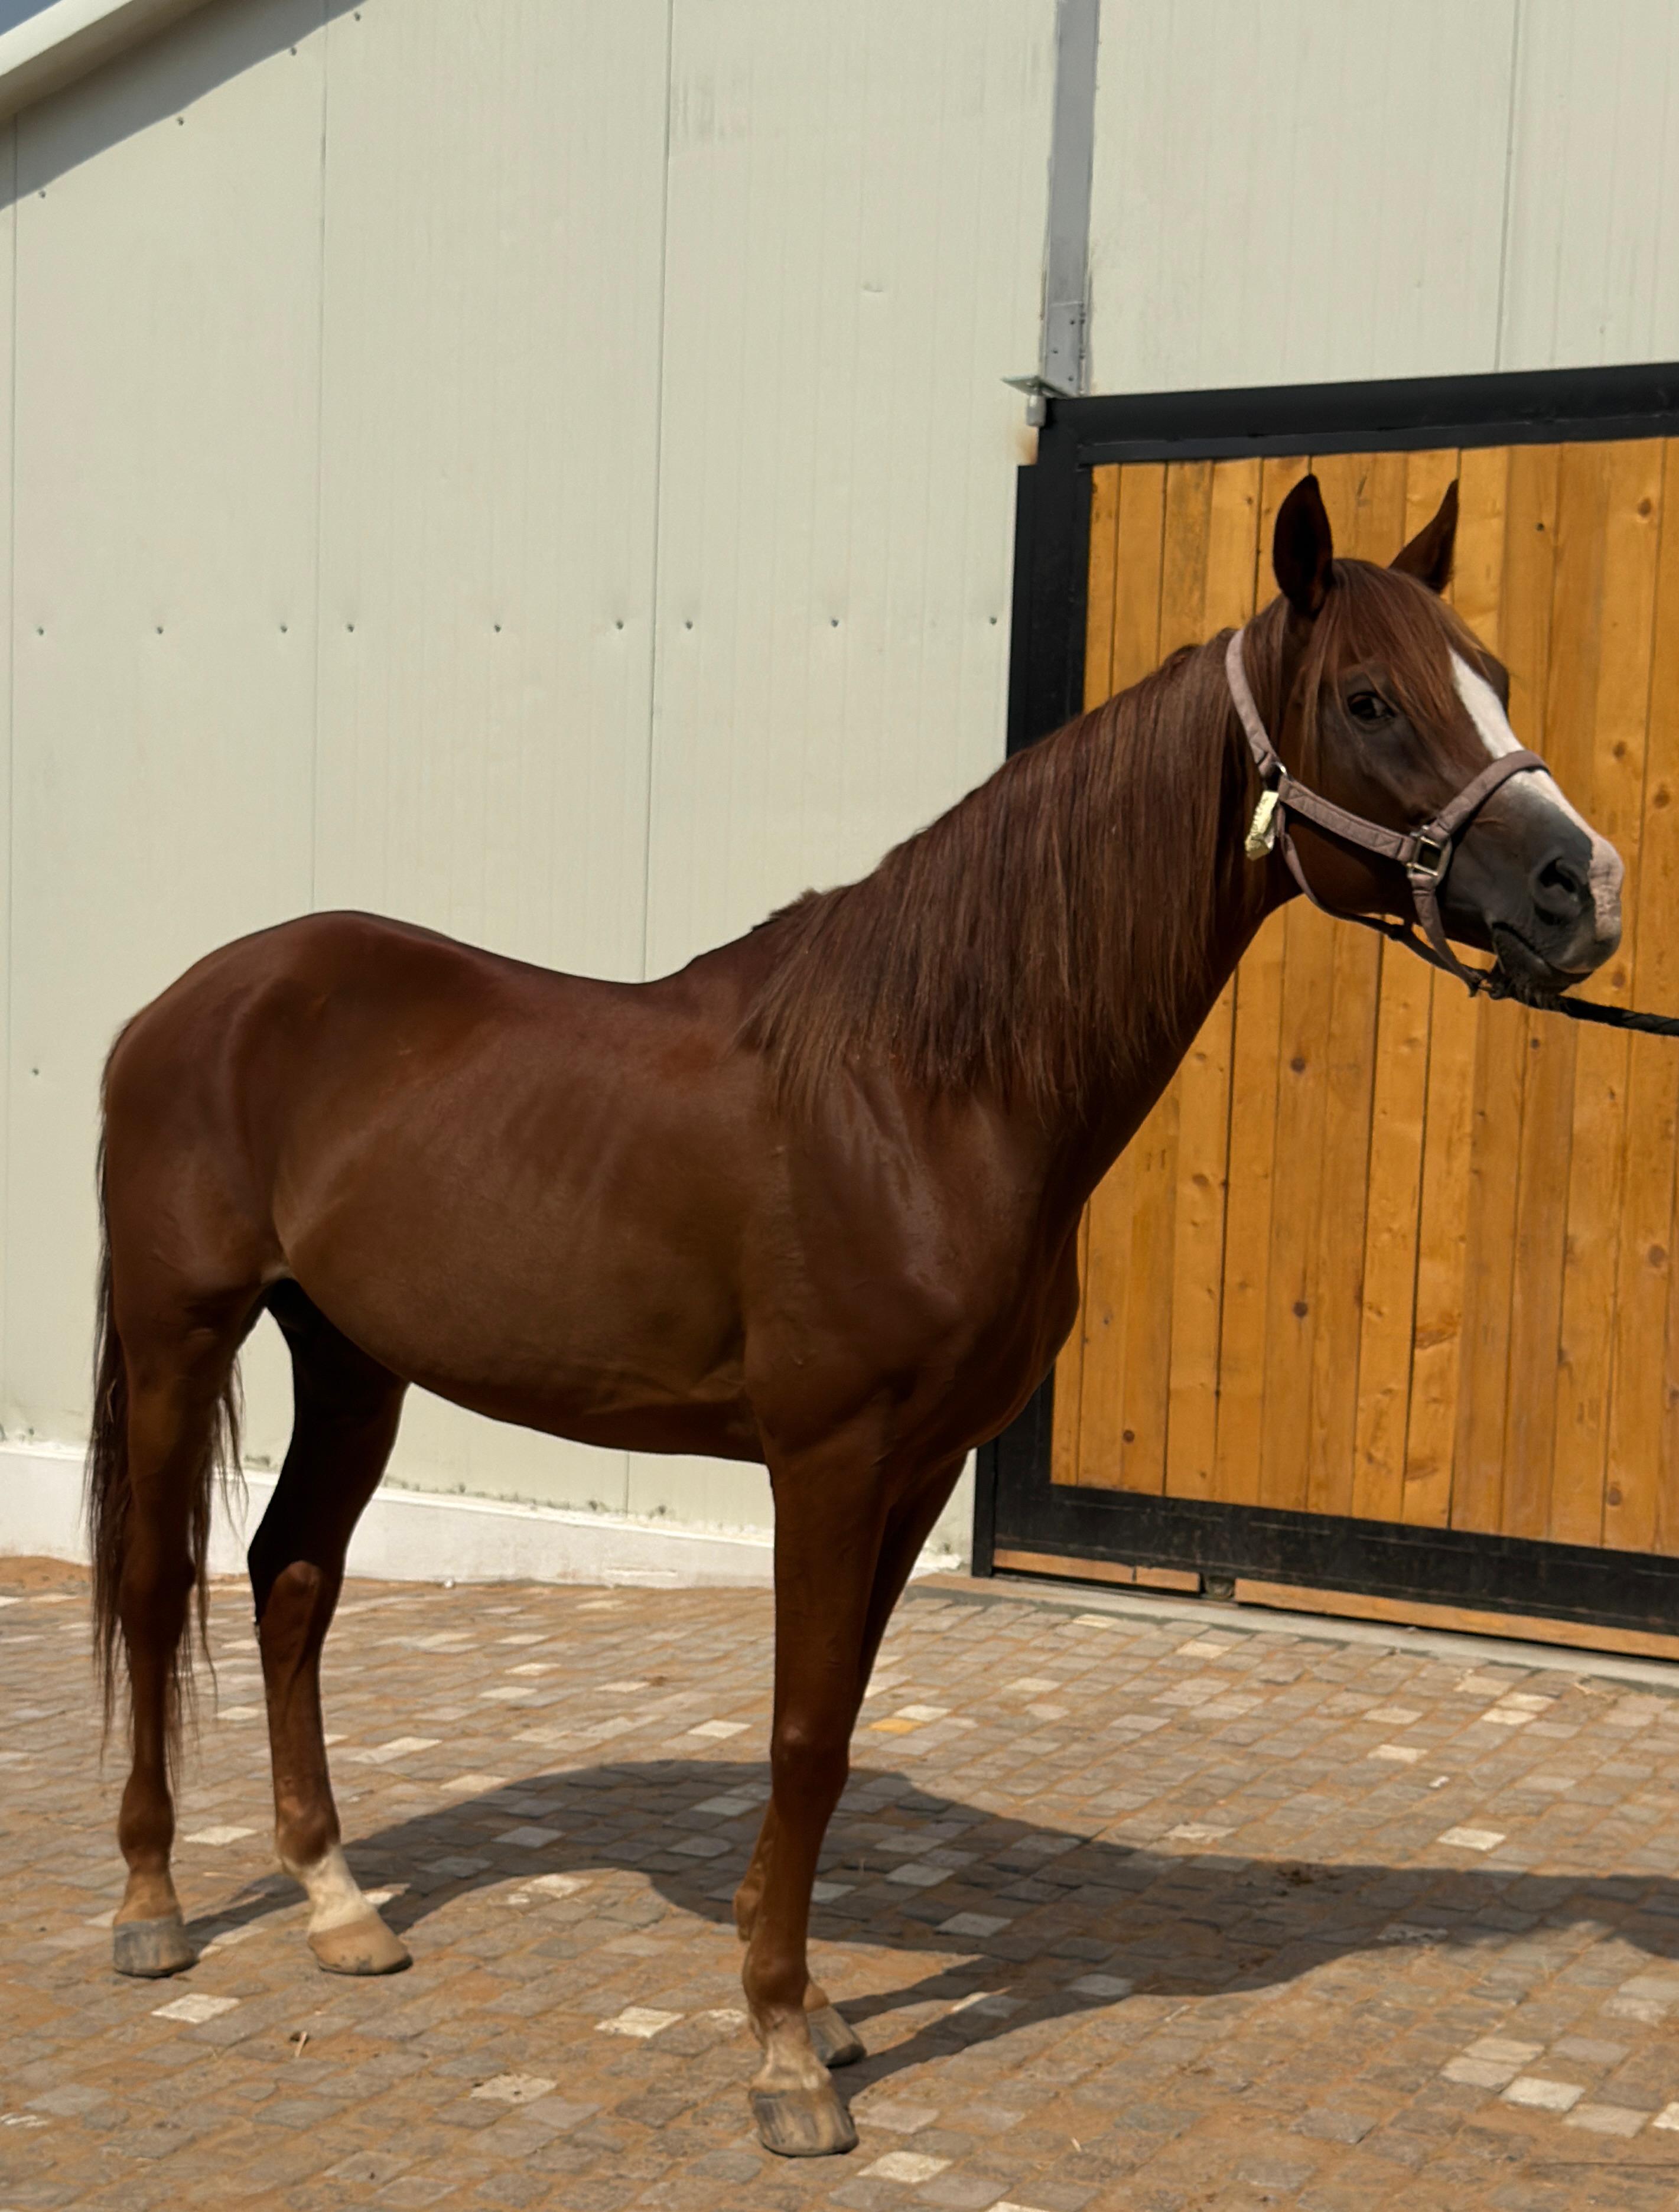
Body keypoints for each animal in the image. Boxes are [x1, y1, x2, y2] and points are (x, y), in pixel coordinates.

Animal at [85, 473, 1621, 2157]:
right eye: (1367, 699)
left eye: (1491, 675)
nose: (1584, 891)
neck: (928, 1088)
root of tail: (189, 1002)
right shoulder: (825, 1459)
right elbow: (804, 1735)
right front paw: (780, 2052)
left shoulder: (922, 1466)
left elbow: (834, 1727)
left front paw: (809, 2004)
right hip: (184, 1330)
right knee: (157, 1585)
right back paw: (153, 1905)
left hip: (356, 1358)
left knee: (292, 1576)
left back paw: (339, 1904)